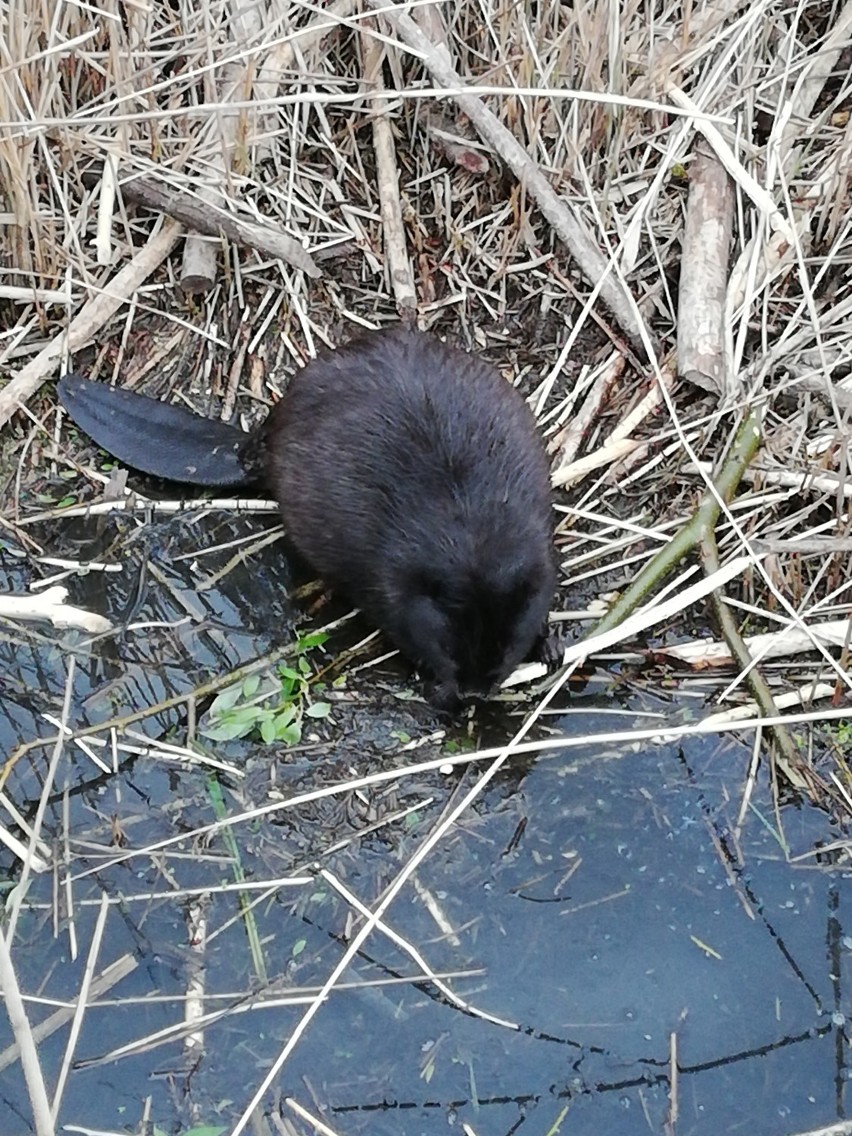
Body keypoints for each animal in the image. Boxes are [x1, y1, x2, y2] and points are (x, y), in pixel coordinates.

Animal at [56, 324, 556, 704]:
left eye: (505, 647)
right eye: (449, 645)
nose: (472, 693)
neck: (469, 533)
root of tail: (250, 448)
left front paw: (549, 645)